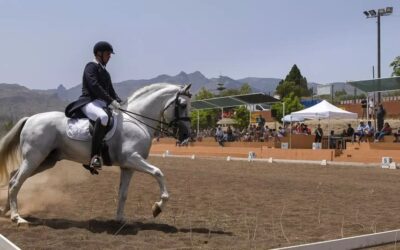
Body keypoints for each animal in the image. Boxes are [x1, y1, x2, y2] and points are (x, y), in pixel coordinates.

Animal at [0, 83, 192, 226]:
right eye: (183, 105)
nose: (186, 135)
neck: (138, 120)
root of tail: (30, 119)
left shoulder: (128, 166)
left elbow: (123, 193)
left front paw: (120, 219)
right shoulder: (133, 158)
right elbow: (158, 172)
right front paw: (158, 207)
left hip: (45, 161)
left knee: (13, 177)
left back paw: (6, 210)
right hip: (34, 158)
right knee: (16, 182)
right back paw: (17, 217)